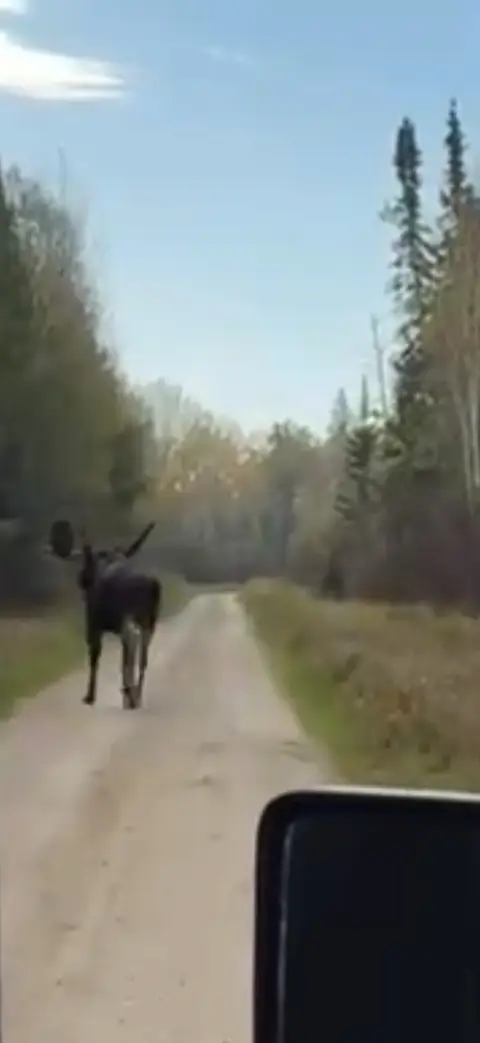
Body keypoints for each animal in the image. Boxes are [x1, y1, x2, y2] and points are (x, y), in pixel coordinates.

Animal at [48, 519, 162, 709]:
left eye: (85, 568)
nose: (81, 580)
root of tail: (152, 585)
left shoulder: (93, 624)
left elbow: (94, 658)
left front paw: (90, 696)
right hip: (150, 620)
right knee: (142, 654)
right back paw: (135, 695)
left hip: (128, 617)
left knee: (132, 642)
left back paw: (130, 693)